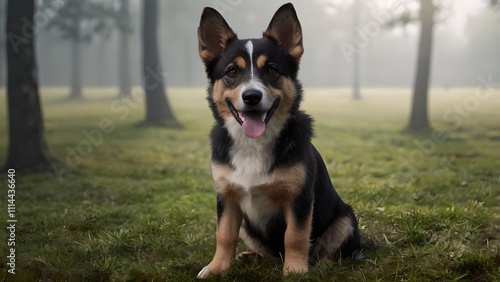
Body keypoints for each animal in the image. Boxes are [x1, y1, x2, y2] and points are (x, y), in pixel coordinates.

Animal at [197, 3, 362, 278]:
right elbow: (224, 235)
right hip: (249, 227)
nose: (252, 96)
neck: (254, 144)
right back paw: (252, 255)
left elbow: (295, 236)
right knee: (269, 252)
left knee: (332, 251)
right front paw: (217, 268)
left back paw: (322, 265)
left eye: (271, 70)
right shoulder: (227, 198)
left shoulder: (299, 199)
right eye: (232, 71)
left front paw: (295, 270)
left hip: (345, 218)